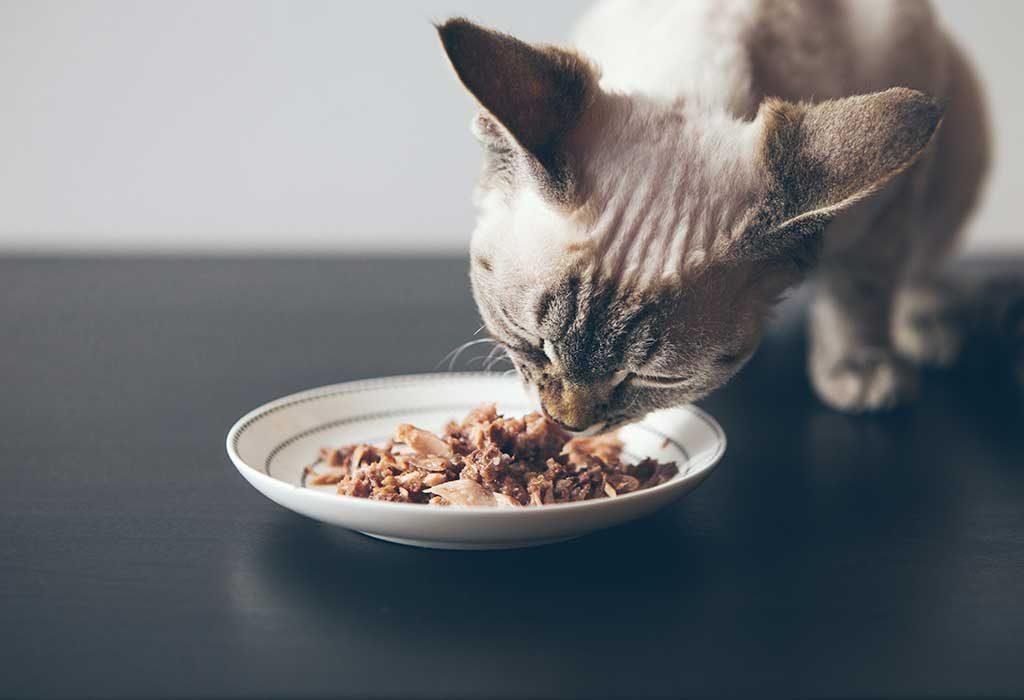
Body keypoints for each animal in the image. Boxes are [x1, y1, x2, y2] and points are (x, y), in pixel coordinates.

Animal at [436, 0, 987, 431]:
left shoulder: (888, 203)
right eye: (533, 342)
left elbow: (861, 292)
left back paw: (926, 326)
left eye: (654, 378)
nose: (568, 425)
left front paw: (859, 370)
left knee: (924, 260)